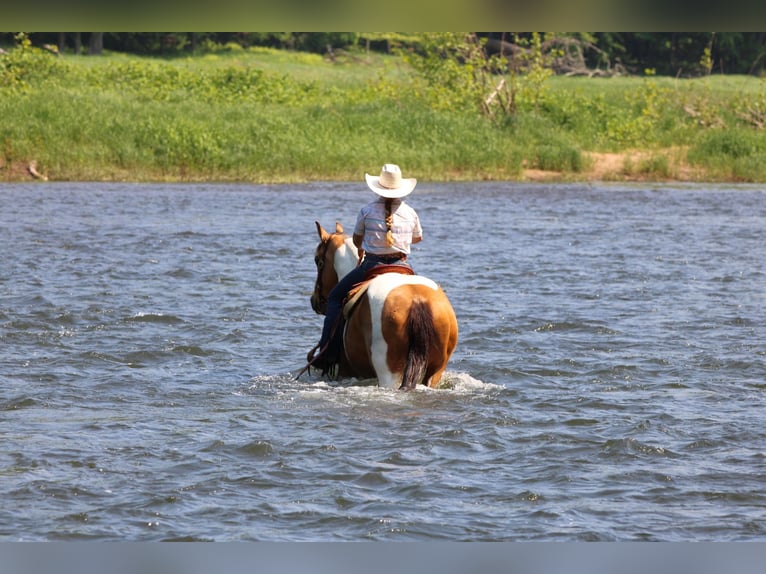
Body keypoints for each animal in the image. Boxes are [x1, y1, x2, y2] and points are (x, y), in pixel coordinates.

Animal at [306, 221, 458, 390]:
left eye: (318, 261)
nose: (314, 301)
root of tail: (417, 300)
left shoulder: (346, 371)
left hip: (389, 373)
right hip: (436, 371)